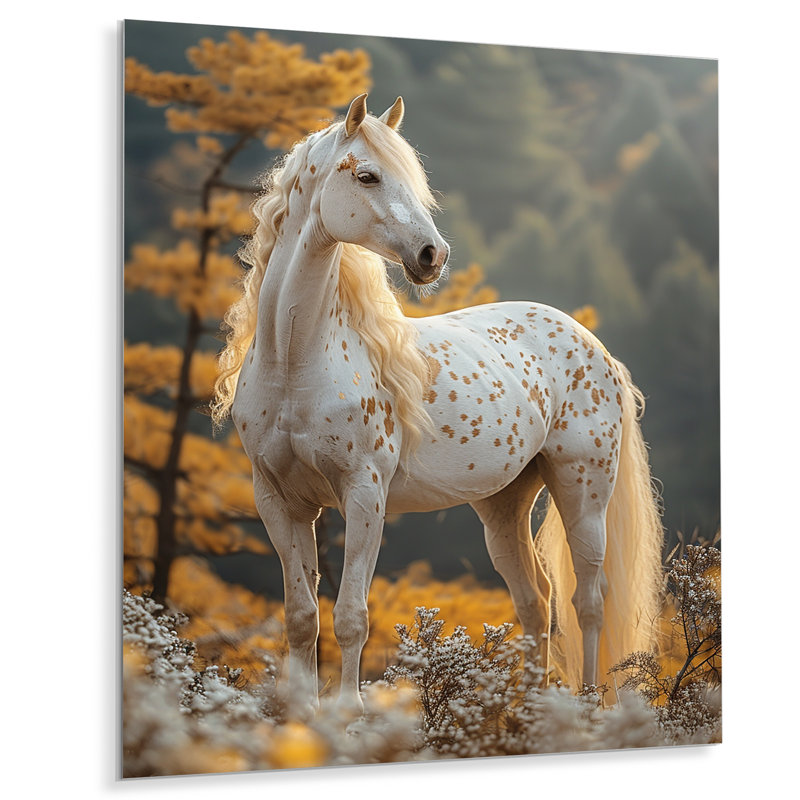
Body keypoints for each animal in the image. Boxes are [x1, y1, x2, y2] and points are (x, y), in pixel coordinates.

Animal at [212, 93, 664, 715]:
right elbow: (302, 616)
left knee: (587, 602)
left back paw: (590, 705)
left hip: (583, 492)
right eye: (368, 175)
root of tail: (597, 349)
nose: (432, 255)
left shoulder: (364, 495)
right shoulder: (280, 502)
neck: (295, 365)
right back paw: (527, 710)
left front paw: (349, 714)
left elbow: (350, 616)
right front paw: (301, 714)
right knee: (536, 599)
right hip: (503, 506)